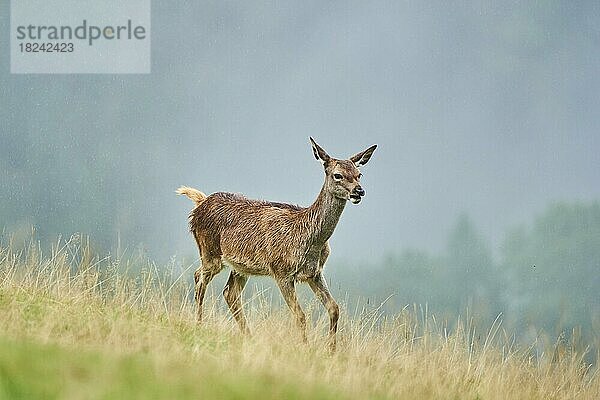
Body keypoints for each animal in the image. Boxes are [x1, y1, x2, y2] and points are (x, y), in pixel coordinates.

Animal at [176, 138, 378, 350]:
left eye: (359, 174)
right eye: (337, 175)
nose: (359, 191)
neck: (311, 240)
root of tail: (200, 203)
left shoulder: (314, 272)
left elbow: (334, 308)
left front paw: (332, 351)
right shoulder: (281, 270)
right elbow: (300, 316)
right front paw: (305, 348)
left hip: (240, 267)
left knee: (229, 292)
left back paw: (249, 337)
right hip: (210, 251)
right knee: (200, 279)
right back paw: (199, 325)